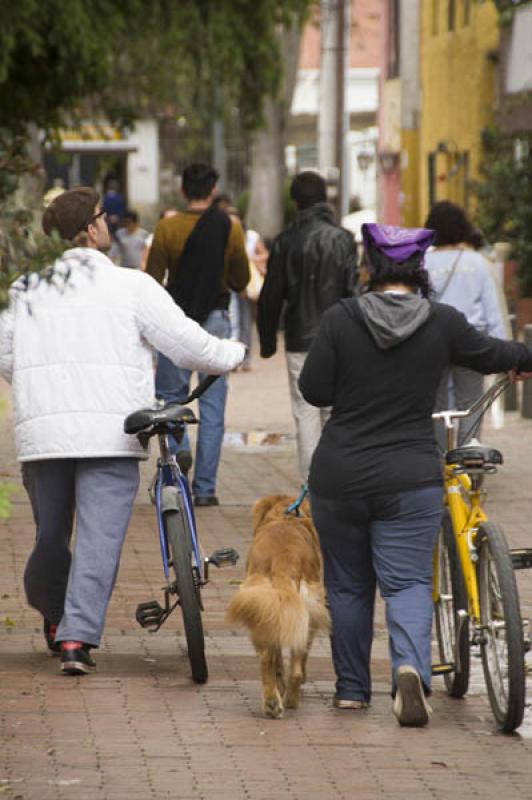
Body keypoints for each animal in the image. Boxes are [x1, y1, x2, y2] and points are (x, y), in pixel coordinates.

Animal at [227, 494, 330, 720]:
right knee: (295, 666)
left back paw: (273, 701)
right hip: (304, 611)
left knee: (267, 658)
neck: (286, 516)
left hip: (263, 608)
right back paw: (290, 699)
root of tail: (282, 560)